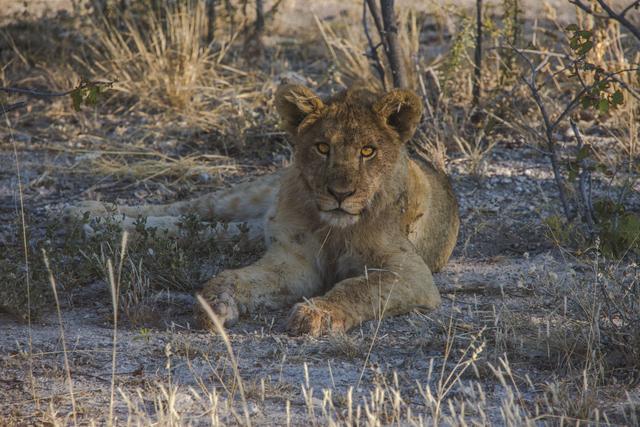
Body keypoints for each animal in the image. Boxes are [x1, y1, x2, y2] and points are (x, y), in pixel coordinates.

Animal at [69, 84, 460, 336]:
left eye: (368, 151)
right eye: (322, 147)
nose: (340, 193)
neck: (333, 227)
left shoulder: (411, 274)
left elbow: (358, 288)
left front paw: (315, 314)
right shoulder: (292, 260)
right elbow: (237, 277)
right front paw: (215, 302)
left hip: (248, 227)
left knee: (204, 229)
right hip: (248, 195)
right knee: (188, 208)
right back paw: (88, 214)